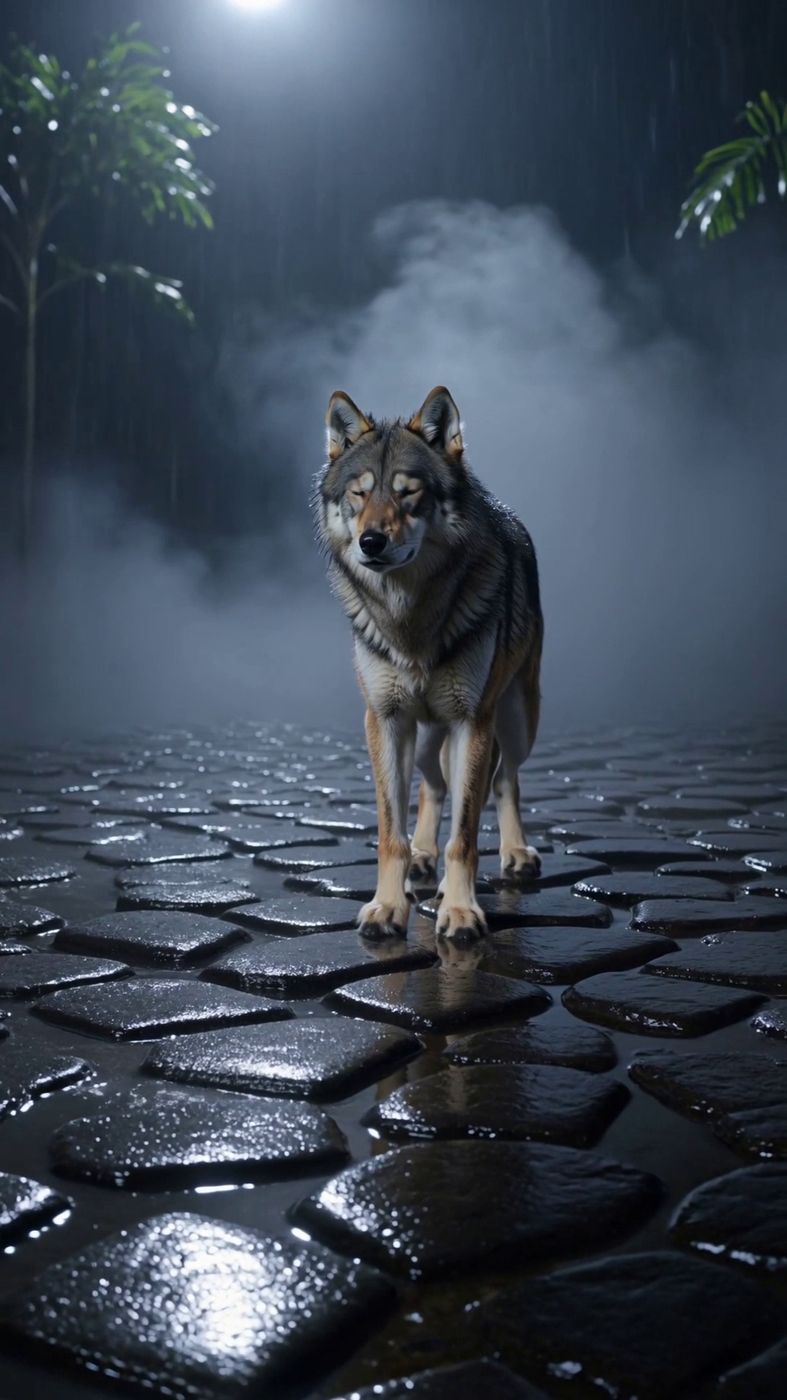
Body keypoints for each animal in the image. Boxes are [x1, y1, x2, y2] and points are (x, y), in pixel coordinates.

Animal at [315, 385, 543, 941]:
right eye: (360, 493)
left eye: (407, 492)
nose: (371, 542)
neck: (411, 621)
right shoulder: (385, 720)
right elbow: (389, 832)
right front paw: (387, 906)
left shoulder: (471, 721)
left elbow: (464, 836)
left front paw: (460, 910)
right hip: (422, 740)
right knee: (432, 787)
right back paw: (422, 857)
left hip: (514, 722)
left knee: (503, 781)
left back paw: (513, 853)